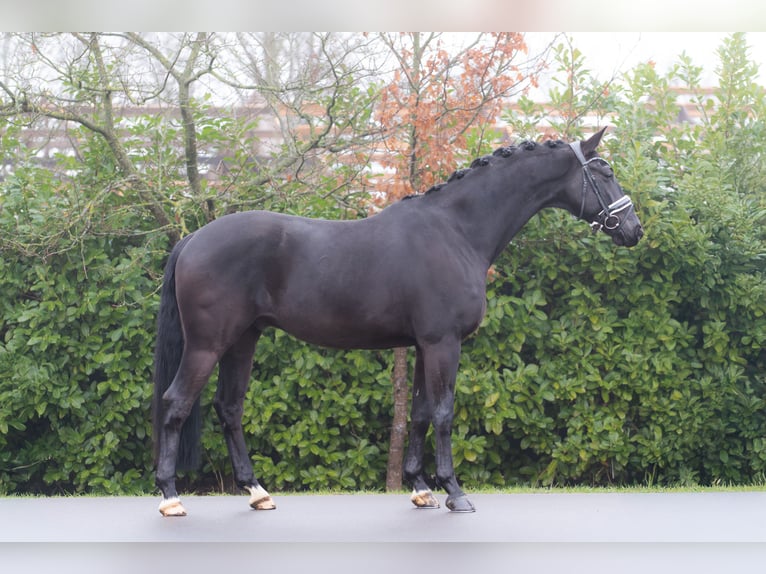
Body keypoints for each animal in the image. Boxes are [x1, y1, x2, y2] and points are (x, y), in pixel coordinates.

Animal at [152, 127, 643, 516]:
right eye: (603, 172)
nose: (634, 229)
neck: (456, 230)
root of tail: (194, 238)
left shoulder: (425, 345)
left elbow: (421, 413)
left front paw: (421, 488)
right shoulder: (444, 343)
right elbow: (443, 413)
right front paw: (454, 492)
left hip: (243, 340)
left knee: (229, 408)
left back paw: (256, 492)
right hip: (208, 344)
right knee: (176, 403)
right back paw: (171, 496)